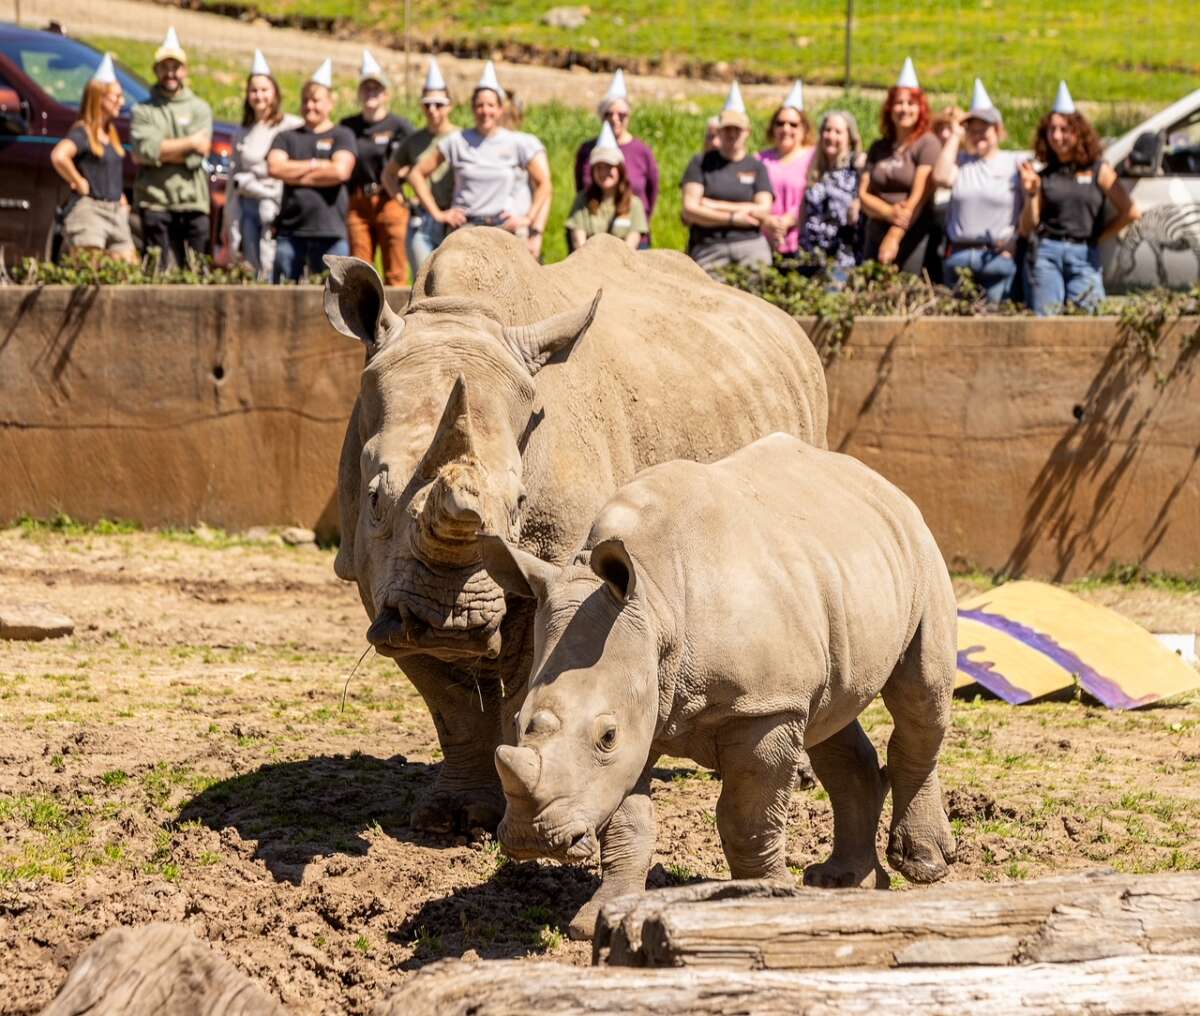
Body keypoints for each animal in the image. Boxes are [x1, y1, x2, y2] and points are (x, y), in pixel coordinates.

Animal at [323, 229, 827, 832]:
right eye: (376, 498)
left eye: (519, 504)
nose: (453, 622)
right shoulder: (375, 578)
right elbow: (451, 706)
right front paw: (452, 818)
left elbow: (528, 684)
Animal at [481, 433, 958, 938]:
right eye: (517, 721)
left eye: (606, 736)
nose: (532, 838)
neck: (655, 604)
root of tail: (877, 481)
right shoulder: (646, 705)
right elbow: (629, 822)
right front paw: (600, 920)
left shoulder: (763, 707)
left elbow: (747, 819)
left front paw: (763, 905)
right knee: (829, 715)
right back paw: (843, 883)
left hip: (919, 550)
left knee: (919, 696)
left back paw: (923, 866)